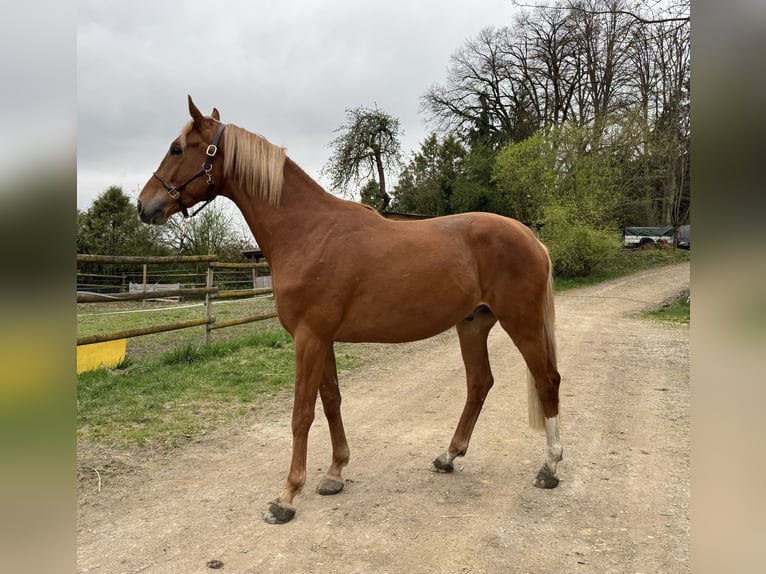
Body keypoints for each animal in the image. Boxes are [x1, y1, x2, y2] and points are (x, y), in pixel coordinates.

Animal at [137, 96, 563, 524]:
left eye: (177, 149)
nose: (143, 206)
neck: (308, 231)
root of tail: (532, 238)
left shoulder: (309, 338)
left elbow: (302, 413)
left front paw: (287, 496)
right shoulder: (321, 338)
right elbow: (331, 402)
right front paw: (334, 473)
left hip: (521, 323)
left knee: (547, 380)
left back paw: (549, 468)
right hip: (472, 324)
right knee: (479, 383)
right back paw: (448, 456)